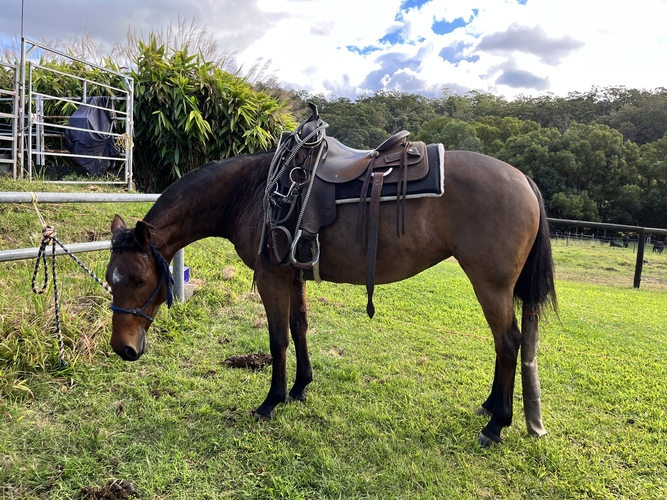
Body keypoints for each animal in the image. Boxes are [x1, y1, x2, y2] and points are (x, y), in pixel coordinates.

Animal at [105, 144, 557, 446]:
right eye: (110, 280)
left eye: (139, 279)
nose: (123, 349)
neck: (251, 192)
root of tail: (524, 179)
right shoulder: (293, 276)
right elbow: (299, 328)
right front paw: (300, 388)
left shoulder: (271, 278)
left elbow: (278, 340)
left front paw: (271, 401)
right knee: (507, 344)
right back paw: (490, 407)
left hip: (490, 285)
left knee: (508, 342)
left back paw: (496, 424)